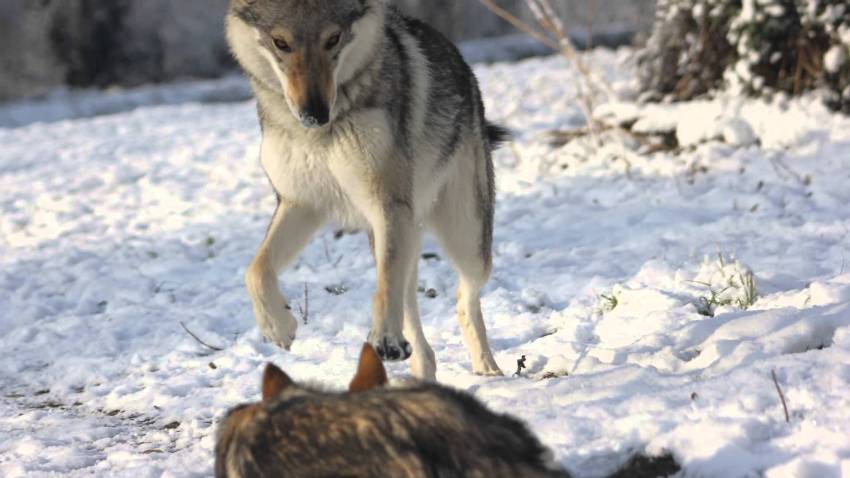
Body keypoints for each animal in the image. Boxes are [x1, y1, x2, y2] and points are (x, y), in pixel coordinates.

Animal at [225, 0, 508, 380]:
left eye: (333, 39)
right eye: (280, 43)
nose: (314, 114)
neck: (322, 134)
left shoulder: (386, 204)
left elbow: (384, 288)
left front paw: (385, 338)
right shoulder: (300, 204)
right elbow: (255, 270)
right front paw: (277, 326)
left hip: (466, 240)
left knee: (464, 297)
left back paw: (486, 367)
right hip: (405, 235)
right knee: (416, 318)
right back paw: (422, 371)